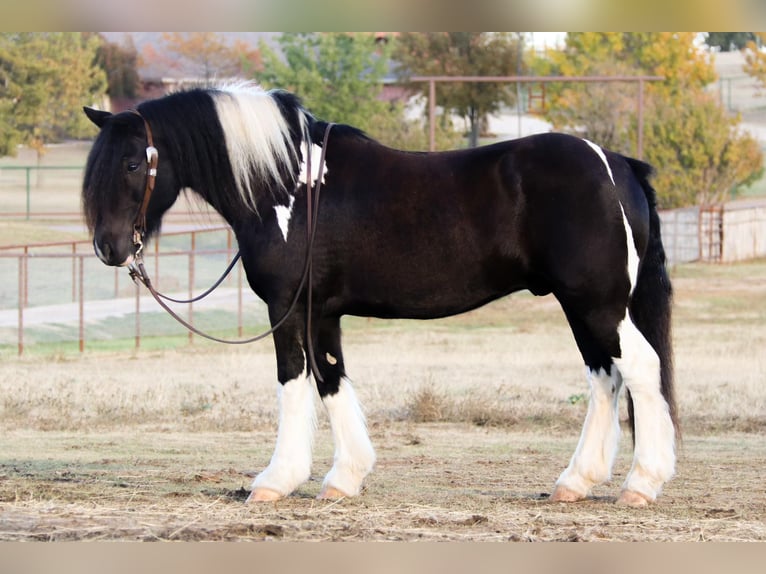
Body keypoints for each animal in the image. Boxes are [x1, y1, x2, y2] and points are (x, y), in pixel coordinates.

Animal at [82, 82, 680, 508]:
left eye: (133, 162)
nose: (110, 248)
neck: (289, 186)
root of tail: (616, 163)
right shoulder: (320, 312)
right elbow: (331, 379)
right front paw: (344, 478)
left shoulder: (287, 309)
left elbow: (293, 380)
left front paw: (275, 480)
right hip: (583, 306)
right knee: (604, 377)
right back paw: (575, 481)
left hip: (598, 303)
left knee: (640, 369)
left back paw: (641, 484)